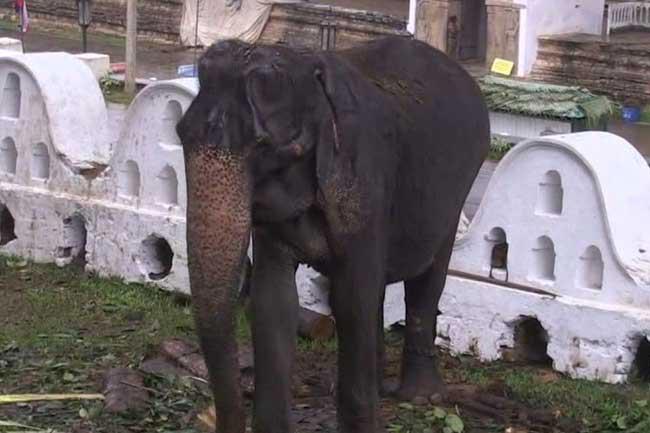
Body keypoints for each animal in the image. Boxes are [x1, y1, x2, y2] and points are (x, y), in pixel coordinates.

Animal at [177, 36, 490, 433]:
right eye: (180, 133)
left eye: (270, 149)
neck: (308, 67)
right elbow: (273, 299)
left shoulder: (365, 179)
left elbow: (351, 297)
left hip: (458, 187)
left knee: (427, 278)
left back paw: (422, 397)